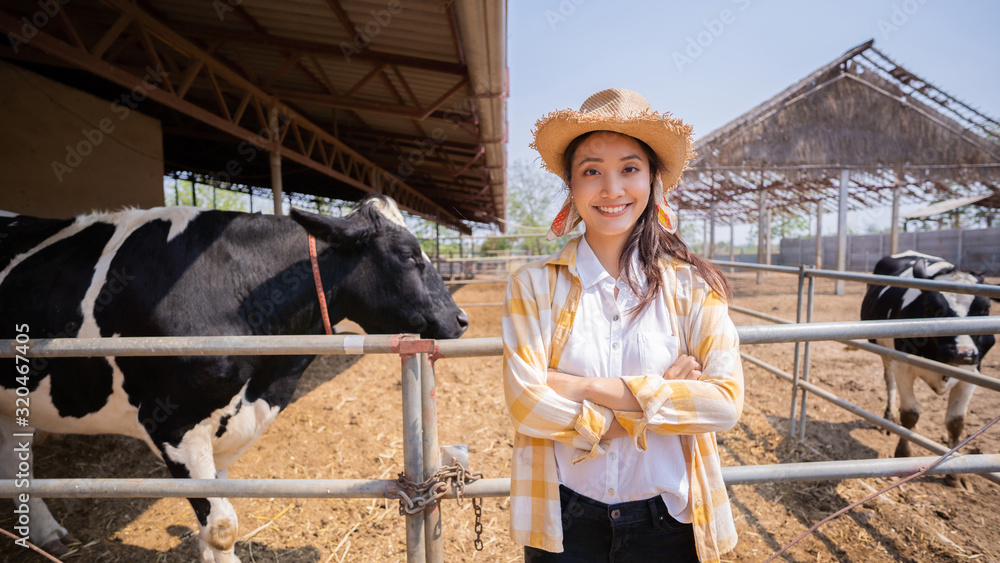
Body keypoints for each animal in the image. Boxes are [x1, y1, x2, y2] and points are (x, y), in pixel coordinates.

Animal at [0, 196, 468, 560]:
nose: (461, 319)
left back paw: (47, 533)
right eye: (408, 254)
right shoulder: (172, 423)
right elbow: (222, 528)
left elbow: (213, 523)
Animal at [860, 250, 992, 484]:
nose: (962, 353)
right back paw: (889, 417)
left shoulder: (972, 373)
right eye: (931, 308)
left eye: (985, 309)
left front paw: (954, 473)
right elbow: (910, 414)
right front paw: (902, 455)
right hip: (885, 351)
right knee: (889, 382)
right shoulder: (903, 366)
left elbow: (956, 422)